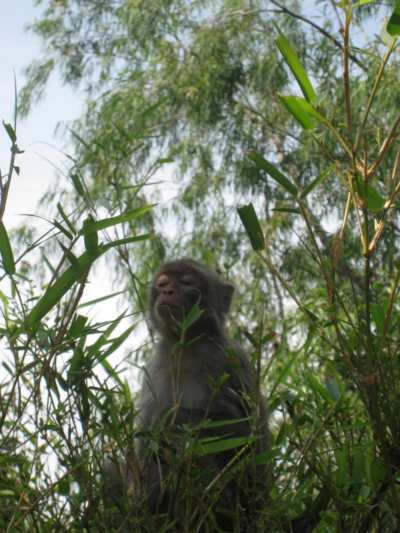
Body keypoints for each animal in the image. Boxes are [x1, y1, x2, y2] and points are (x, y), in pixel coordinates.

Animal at [101, 258, 270, 528]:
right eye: (163, 283)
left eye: (185, 282)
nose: (168, 292)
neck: (186, 344)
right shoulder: (155, 368)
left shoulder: (225, 361)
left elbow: (246, 434)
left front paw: (169, 421)